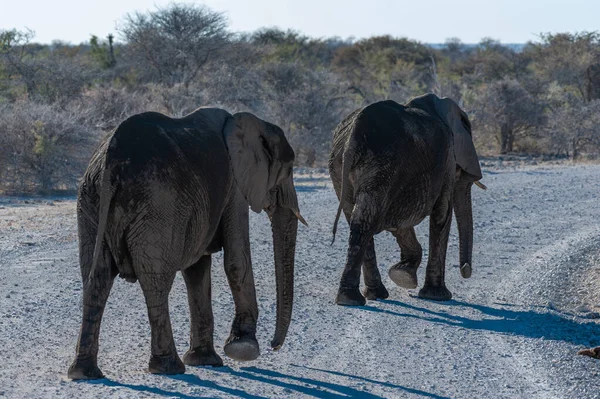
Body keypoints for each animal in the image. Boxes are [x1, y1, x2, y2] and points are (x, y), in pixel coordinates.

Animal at [68, 107, 308, 382]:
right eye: (288, 171)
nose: (274, 346)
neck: (248, 122)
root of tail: (110, 162)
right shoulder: (235, 185)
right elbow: (236, 259)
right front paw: (243, 349)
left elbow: (197, 271)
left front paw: (205, 360)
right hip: (157, 206)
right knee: (155, 282)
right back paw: (168, 367)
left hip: (90, 203)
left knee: (96, 278)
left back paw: (84, 373)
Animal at [330, 94, 486, 306]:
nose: (466, 270)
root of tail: (352, 139)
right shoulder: (447, 159)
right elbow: (442, 213)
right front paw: (437, 295)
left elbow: (399, 224)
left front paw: (403, 277)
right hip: (382, 166)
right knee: (367, 221)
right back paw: (354, 299)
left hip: (345, 170)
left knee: (359, 220)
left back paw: (367, 296)